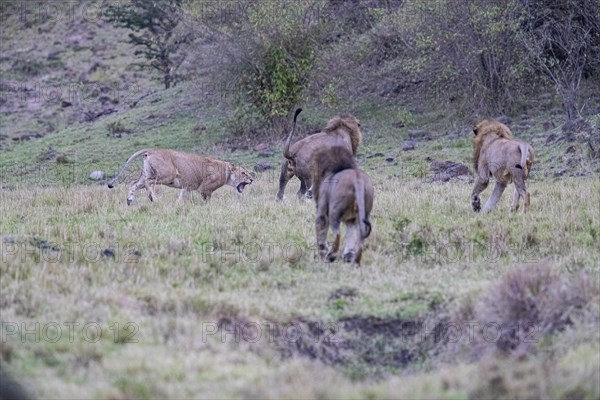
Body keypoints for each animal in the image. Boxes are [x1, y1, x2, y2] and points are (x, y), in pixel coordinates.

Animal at [108, 149, 253, 206]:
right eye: (244, 173)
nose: (252, 179)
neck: (226, 170)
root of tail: (150, 150)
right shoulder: (205, 189)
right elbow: (207, 199)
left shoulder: (187, 186)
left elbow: (182, 197)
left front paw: (178, 205)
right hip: (168, 174)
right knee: (151, 183)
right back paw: (154, 199)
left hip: (146, 175)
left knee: (133, 183)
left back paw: (130, 201)